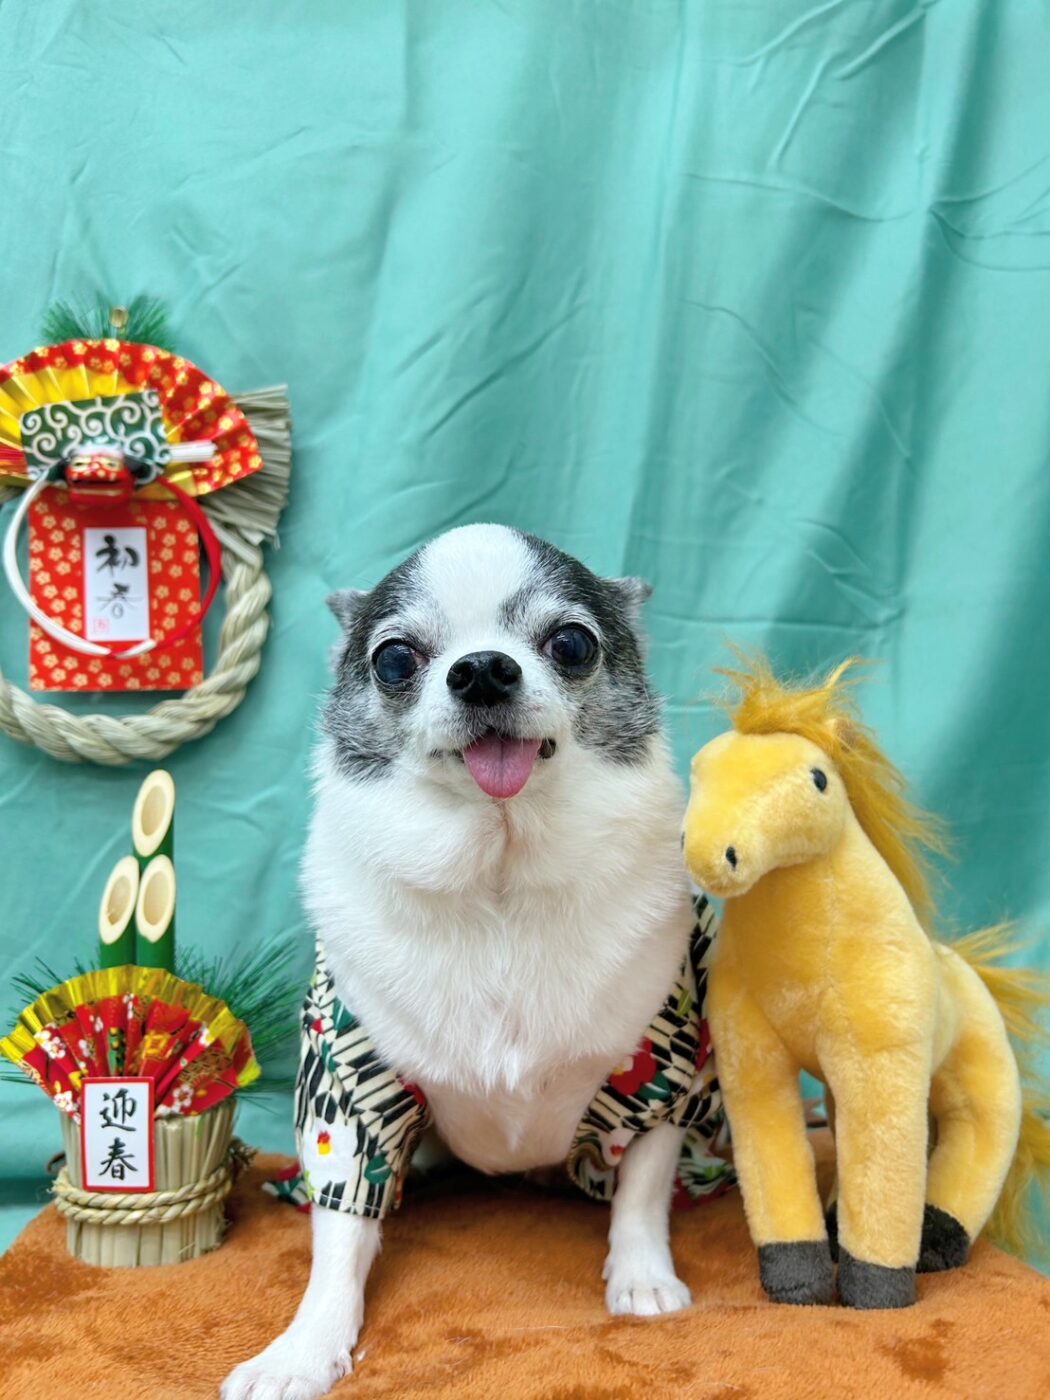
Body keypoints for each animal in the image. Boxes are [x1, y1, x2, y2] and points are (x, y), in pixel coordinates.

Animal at [222, 524, 720, 1400]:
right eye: (394, 660)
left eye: (572, 644)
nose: (484, 667)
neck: (499, 873)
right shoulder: (352, 1087)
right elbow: (339, 1234)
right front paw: (304, 1349)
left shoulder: (659, 1066)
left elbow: (643, 1186)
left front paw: (641, 1276)